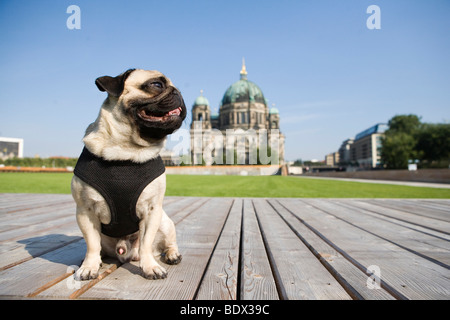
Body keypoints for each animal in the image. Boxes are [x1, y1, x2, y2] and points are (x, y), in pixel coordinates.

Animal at [71, 69, 186, 278]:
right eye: (157, 85)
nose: (178, 92)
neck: (126, 152)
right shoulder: (85, 211)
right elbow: (91, 244)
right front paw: (89, 266)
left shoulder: (152, 211)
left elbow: (146, 243)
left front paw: (150, 267)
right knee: (98, 247)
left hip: (165, 222)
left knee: (168, 242)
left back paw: (172, 255)